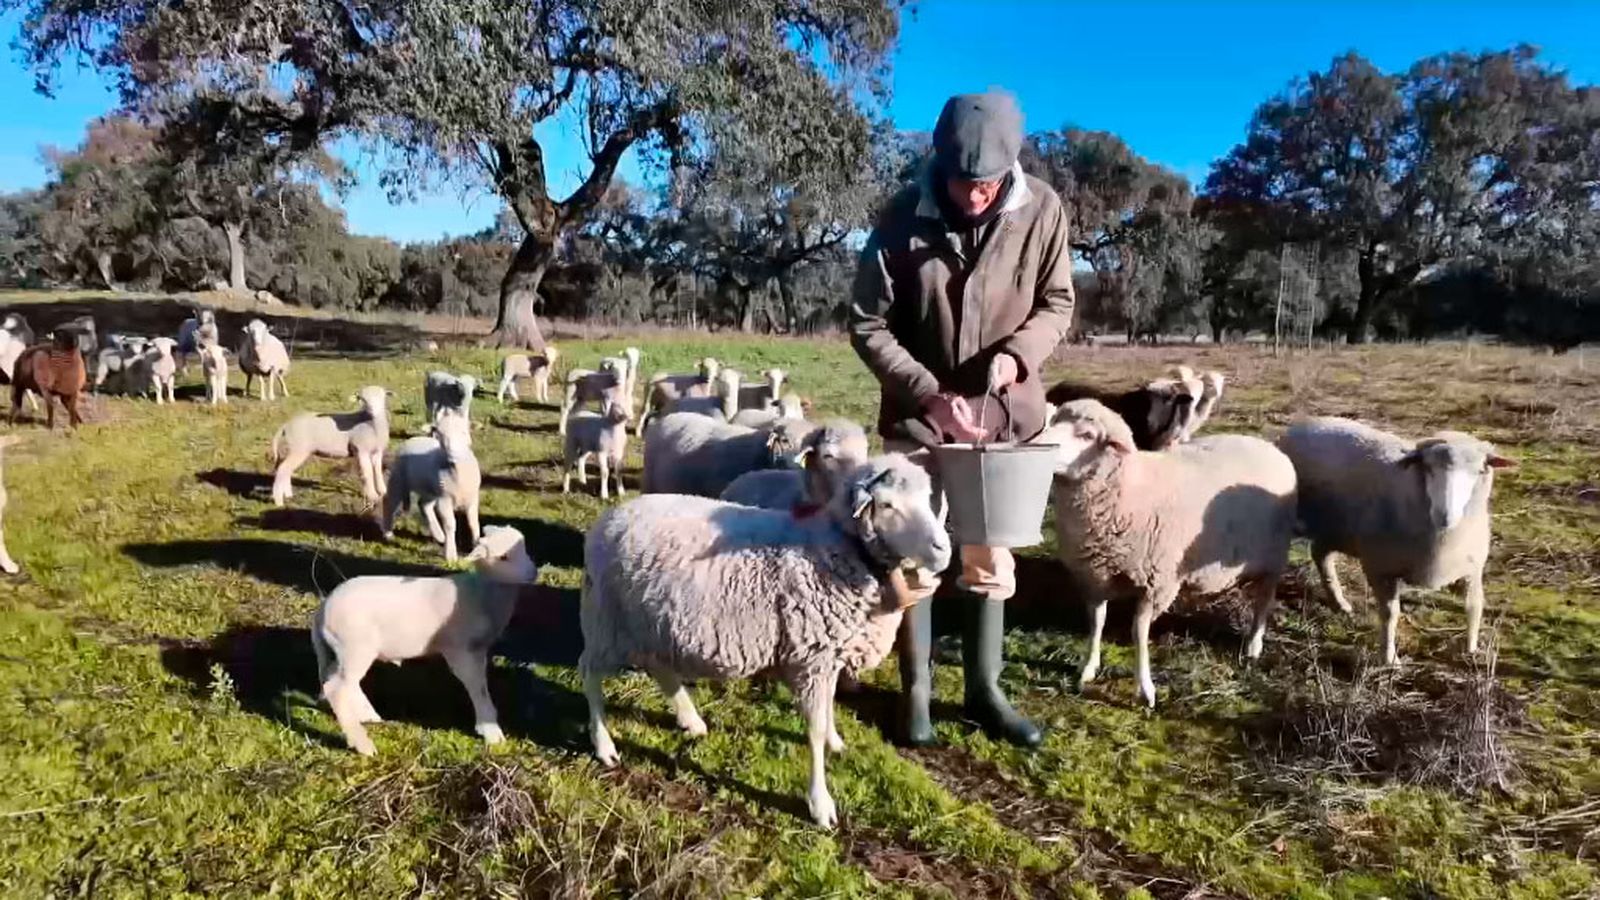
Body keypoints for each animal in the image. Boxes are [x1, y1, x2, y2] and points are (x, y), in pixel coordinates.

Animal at [312, 525, 537, 755]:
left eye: (524, 547)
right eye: (503, 557)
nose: (533, 573)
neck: (481, 594)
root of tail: (322, 610)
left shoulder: (478, 650)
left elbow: (481, 685)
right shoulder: (461, 650)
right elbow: (477, 688)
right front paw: (491, 732)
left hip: (345, 651)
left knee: (335, 680)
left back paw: (366, 714)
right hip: (355, 648)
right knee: (336, 688)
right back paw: (363, 744)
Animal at [382, 408, 482, 561]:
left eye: (464, 431)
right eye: (440, 434)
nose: (452, 455)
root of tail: (413, 439)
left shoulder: (472, 498)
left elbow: (474, 524)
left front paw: (478, 547)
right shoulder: (444, 499)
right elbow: (450, 524)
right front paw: (451, 554)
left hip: (431, 489)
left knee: (423, 505)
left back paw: (439, 535)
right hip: (399, 478)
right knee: (390, 502)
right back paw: (388, 533)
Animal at [579, 454, 952, 828]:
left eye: (927, 498)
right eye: (887, 505)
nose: (943, 550)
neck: (836, 551)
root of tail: (607, 520)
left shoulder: (827, 655)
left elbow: (829, 708)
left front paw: (835, 741)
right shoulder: (811, 660)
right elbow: (814, 730)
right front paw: (820, 803)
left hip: (651, 622)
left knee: (658, 667)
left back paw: (691, 720)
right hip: (607, 621)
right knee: (589, 671)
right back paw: (604, 745)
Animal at [1037, 399, 1298, 708]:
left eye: (1087, 435)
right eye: (1054, 421)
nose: (1038, 445)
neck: (1131, 492)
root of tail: (1271, 446)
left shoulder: (1157, 583)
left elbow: (1138, 632)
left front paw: (1145, 688)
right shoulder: (1093, 577)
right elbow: (1096, 622)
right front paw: (1089, 669)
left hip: (1274, 556)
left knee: (1263, 601)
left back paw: (1254, 645)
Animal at [1277, 417, 1515, 664]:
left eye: (1478, 471)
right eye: (1428, 468)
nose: (1444, 515)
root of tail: (1302, 425)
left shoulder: (1472, 567)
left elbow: (1474, 605)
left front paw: (1471, 650)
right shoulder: (1380, 567)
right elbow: (1390, 614)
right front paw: (1389, 659)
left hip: (1335, 529)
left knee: (1320, 554)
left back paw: (1339, 603)